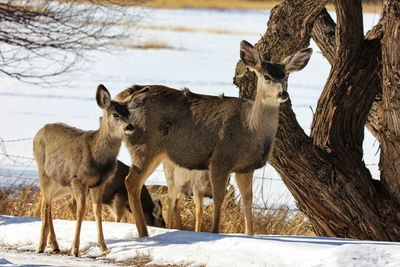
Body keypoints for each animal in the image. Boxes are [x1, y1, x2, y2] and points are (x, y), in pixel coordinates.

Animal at [32, 85, 134, 258]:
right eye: (115, 114)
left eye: (129, 113)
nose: (130, 127)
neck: (97, 157)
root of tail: (38, 132)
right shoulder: (78, 179)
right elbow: (81, 210)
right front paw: (75, 250)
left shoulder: (100, 182)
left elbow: (97, 210)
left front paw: (104, 247)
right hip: (44, 173)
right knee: (45, 203)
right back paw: (41, 245)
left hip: (61, 183)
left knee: (46, 200)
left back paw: (54, 245)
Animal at [116, 40, 312, 238]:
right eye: (266, 76)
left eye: (286, 75)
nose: (283, 94)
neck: (250, 129)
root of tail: (122, 97)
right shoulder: (220, 158)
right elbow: (218, 198)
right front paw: (214, 232)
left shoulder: (245, 167)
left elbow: (247, 200)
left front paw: (250, 235)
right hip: (144, 146)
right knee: (131, 182)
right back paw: (143, 232)